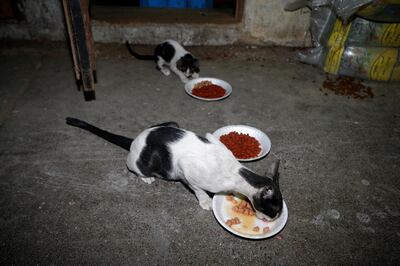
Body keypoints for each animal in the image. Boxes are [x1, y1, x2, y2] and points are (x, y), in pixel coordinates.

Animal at [65, 118, 282, 220]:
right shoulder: (186, 169)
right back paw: (146, 177)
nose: (273, 220)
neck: (236, 172)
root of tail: (136, 139)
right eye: (274, 209)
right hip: (145, 161)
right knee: (132, 165)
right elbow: (198, 189)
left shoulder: (211, 138)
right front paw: (205, 201)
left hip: (171, 123)